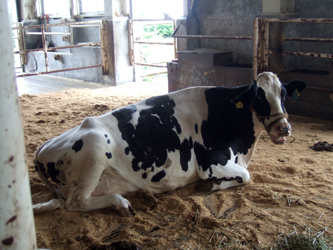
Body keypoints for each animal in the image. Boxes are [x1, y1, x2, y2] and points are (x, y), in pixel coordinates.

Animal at [32, 71, 304, 216]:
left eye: (284, 94)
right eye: (259, 97)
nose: (283, 128)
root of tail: (42, 147)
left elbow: (246, 175)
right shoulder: (210, 163)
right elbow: (247, 176)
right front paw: (213, 186)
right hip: (93, 152)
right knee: (76, 202)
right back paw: (122, 204)